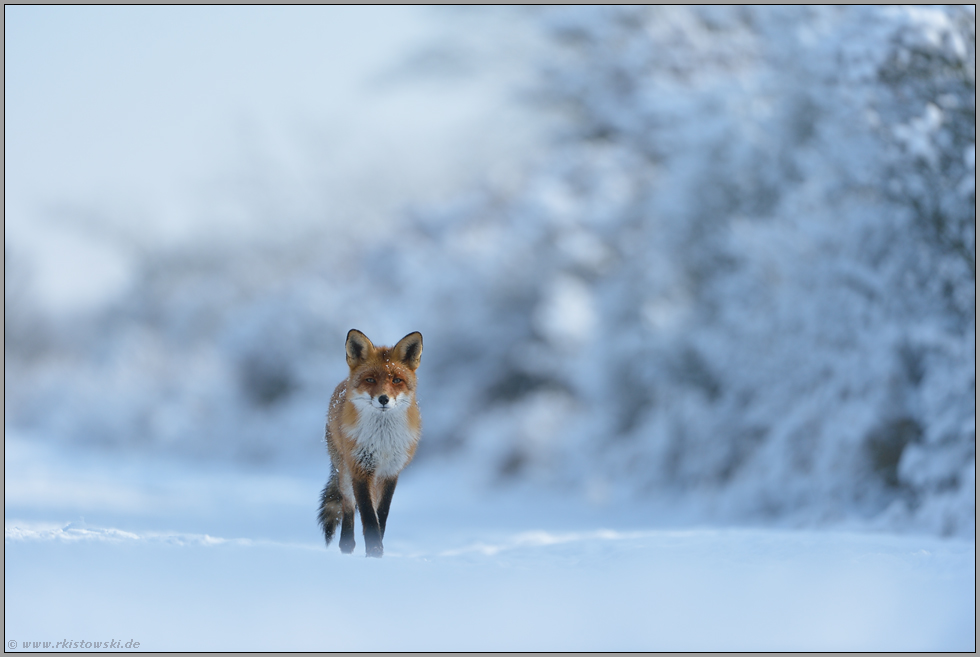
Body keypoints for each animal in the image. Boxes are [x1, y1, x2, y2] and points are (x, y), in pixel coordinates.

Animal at [316, 330, 420, 556]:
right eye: (370, 379)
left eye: (397, 380)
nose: (383, 399)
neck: (382, 441)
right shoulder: (360, 469)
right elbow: (367, 514)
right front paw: (374, 552)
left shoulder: (390, 472)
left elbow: (381, 514)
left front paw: (375, 549)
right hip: (345, 473)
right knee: (347, 505)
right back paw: (346, 546)